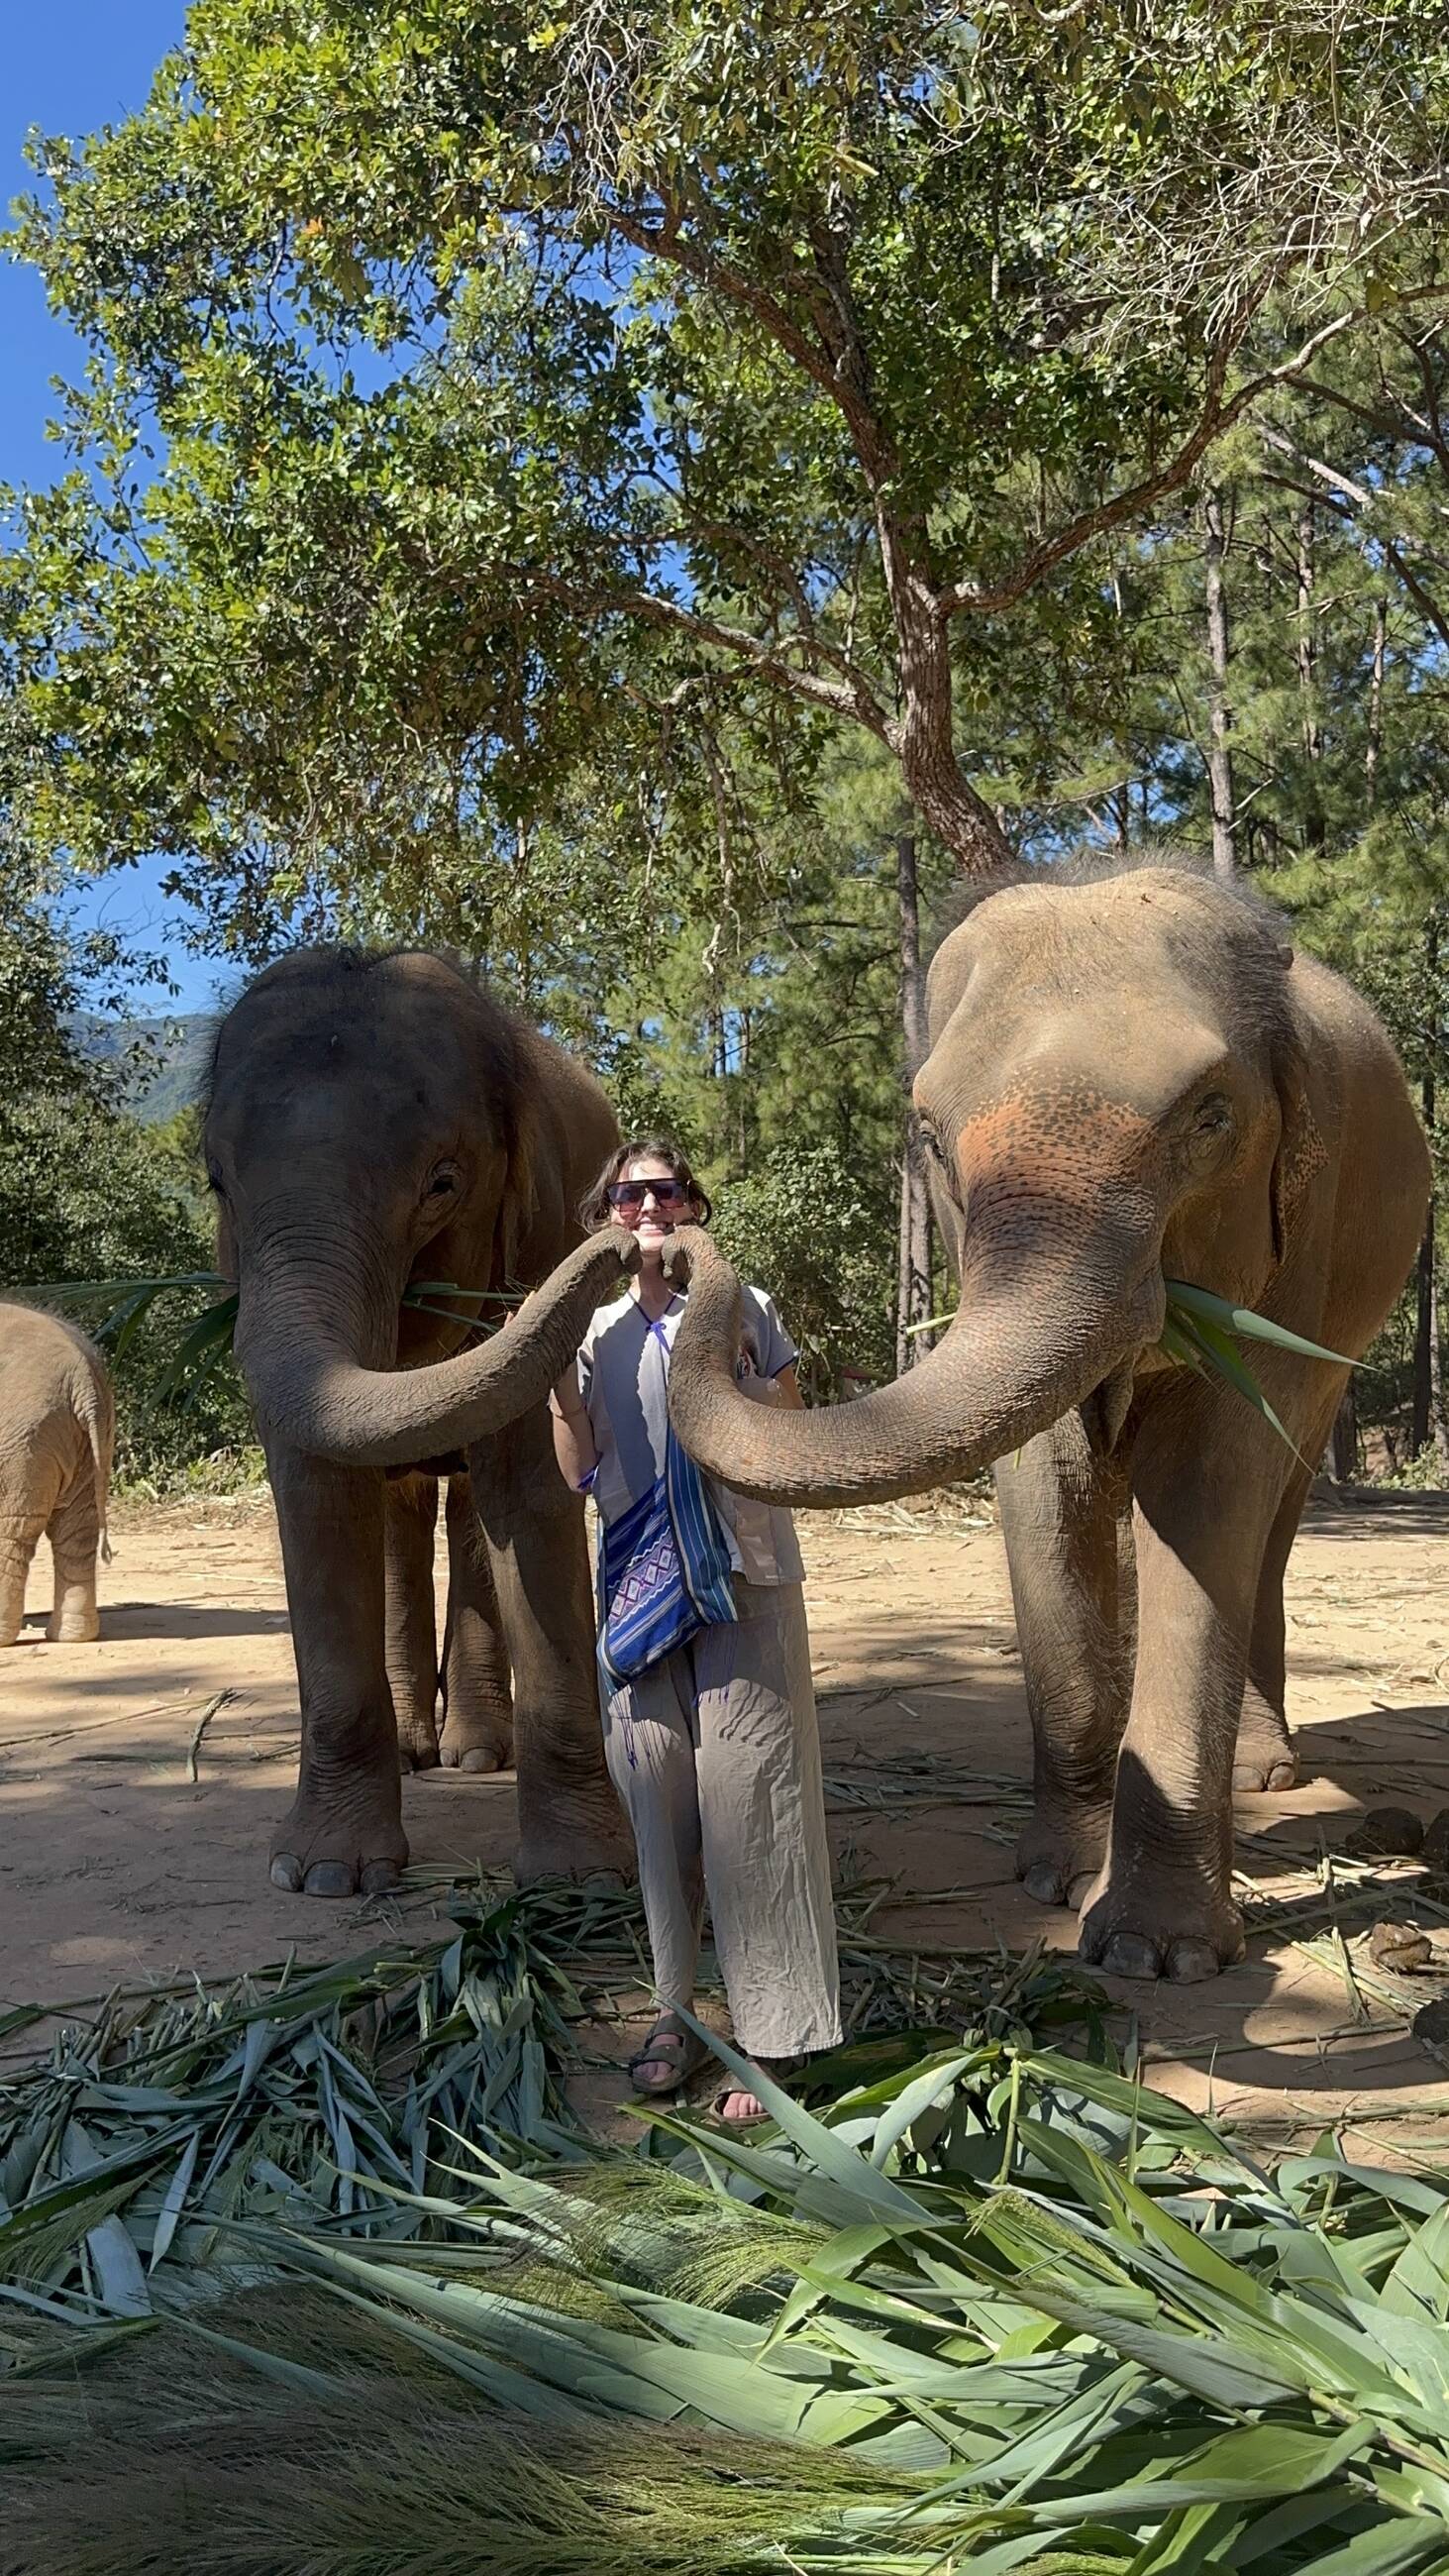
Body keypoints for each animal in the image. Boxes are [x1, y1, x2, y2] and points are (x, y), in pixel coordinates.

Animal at [0, 1303, 114, 1645]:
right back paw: (73, 1636)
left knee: (13, 1532)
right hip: (88, 1436)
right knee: (78, 1528)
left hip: (24, 1439)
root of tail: (81, 1377)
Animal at [204, 946, 638, 1899]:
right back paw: (418, 1750)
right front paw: (325, 1876)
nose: (623, 1248)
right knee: (403, 1512)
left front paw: (581, 1884)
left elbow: (529, 1487)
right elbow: (319, 1493)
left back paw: (475, 1754)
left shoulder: (534, 1243)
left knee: (472, 1507)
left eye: (443, 1184)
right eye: (216, 1183)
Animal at [666, 858, 1430, 1983]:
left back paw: (1263, 1771)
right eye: (929, 1138)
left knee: (1278, 1508)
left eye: (1211, 1118)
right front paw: (1059, 1884)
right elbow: (1040, 1484)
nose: (681, 1243)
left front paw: (1156, 1952)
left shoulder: (1300, 1236)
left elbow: (1205, 1494)